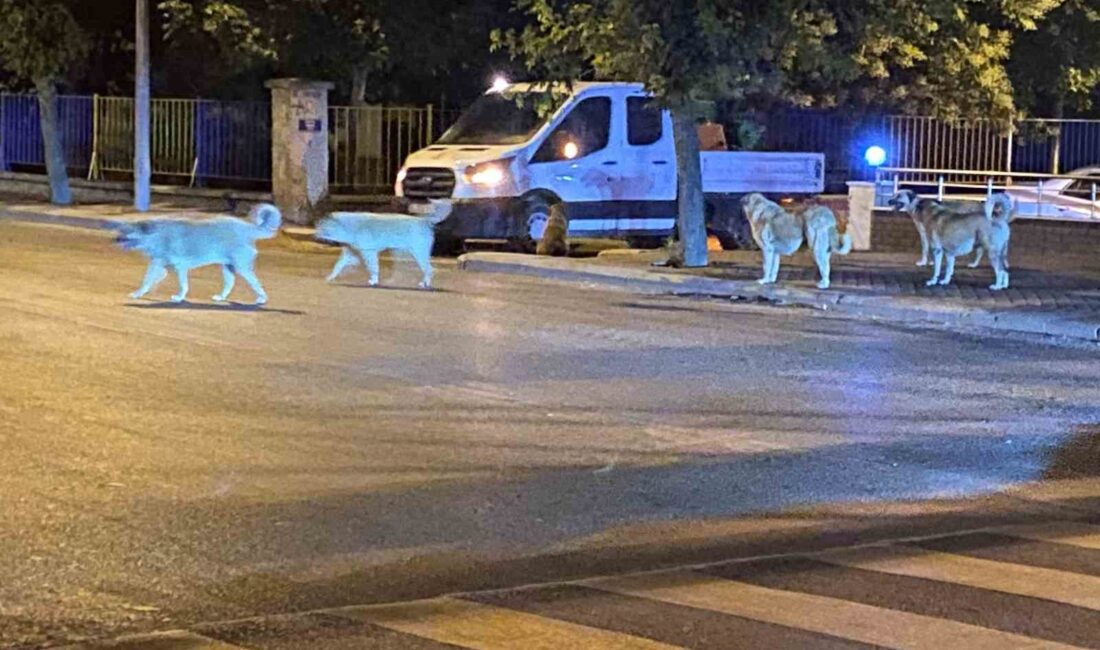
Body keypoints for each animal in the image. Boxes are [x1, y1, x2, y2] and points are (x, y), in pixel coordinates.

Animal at [314, 200, 451, 288]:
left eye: (321, 228)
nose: (314, 237)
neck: (348, 227)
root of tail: (423, 220)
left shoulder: (369, 252)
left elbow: (373, 268)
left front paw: (373, 281)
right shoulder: (349, 253)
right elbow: (337, 266)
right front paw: (330, 278)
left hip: (418, 253)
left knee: (429, 269)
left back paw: (425, 284)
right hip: (404, 253)